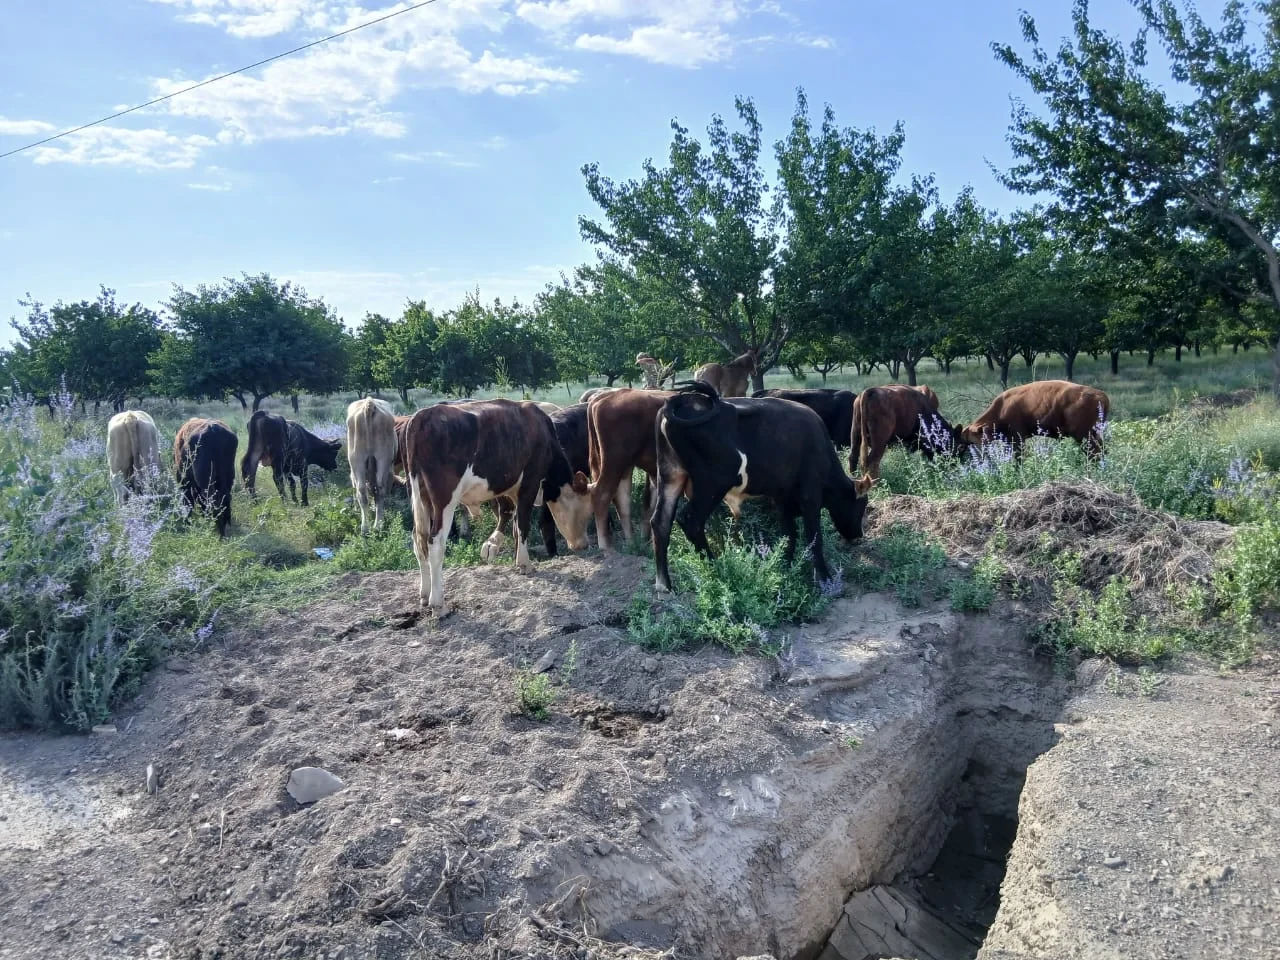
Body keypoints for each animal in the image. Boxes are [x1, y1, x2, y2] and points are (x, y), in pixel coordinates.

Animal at [346, 398, 398, 535]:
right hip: (378, 459)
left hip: (359, 460)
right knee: (373, 490)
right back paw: (374, 526)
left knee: (365, 490)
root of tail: (369, 403)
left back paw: (370, 527)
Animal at [403, 399, 591, 612]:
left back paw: (424, 594)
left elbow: (513, 520)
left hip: (420, 497)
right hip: (444, 500)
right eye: (585, 513)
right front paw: (524, 564)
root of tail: (422, 415)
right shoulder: (530, 482)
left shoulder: (510, 487)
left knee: (418, 539)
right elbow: (523, 523)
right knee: (435, 542)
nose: (583, 545)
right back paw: (438, 603)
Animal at [579, 388, 673, 552]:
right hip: (614, 462)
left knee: (622, 500)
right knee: (601, 494)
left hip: (621, 466)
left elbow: (650, 502)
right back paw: (606, 547)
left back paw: (631, 543)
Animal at [652, 382, 867, 593]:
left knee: (660, 522)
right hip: (712, 484)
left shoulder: (782, 498)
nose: (858, 535)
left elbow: (789, 534)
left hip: (670, 477)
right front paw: (824, 580)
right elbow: (814, 537)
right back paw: (716, 567)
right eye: (861, 507)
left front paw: (785, 566)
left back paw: (664, 584)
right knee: (691, 520)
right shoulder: (810, 495)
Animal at [961, 380, 1110, 458]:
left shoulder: (1018, 439)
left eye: (971, 442)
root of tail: (1101, 395)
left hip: (1084, 435)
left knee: (1095, 452)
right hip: (1093, 435)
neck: (1001, 408)